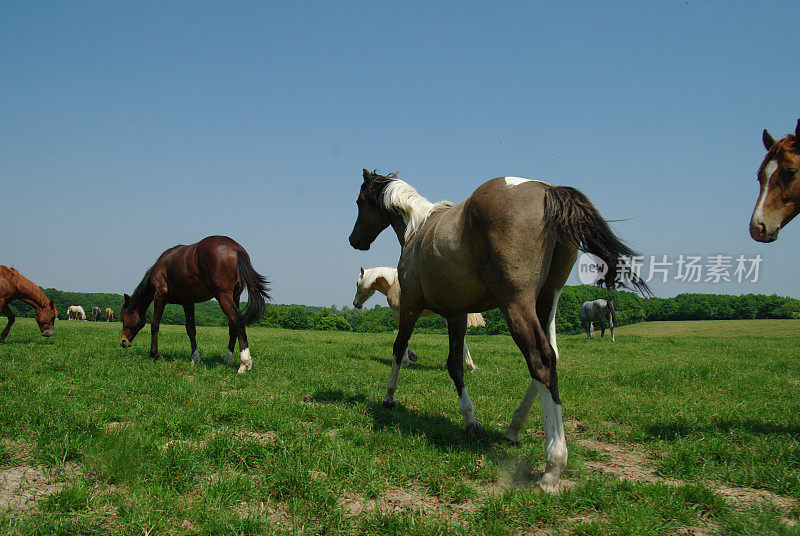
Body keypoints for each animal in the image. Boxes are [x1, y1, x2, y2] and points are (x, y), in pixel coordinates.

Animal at [117, 234, 270, 372]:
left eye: (124, 318)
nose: (123, 341)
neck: (161, 267)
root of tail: (236, 249)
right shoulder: (188, 302)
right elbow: (190, 329)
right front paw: (195, 358)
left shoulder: (159, 296)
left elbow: (155, 324)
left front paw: (154, 354)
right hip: (235, 296)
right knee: (233, 324)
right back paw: (228, 359)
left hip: (223, 296)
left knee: (237, 320)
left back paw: (244, 363)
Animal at [346, 170, 648, 492]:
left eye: (360, 201)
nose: (354, 240)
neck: (418, 228)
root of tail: (549, 191)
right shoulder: (456, 315)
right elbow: (455, 365)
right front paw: (470, 421)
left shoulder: (410, 307)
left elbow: (399, 347)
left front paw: (389, 396)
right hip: (547, 301)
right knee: (552, 358)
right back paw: (514, 428)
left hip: (516, 303)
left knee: (540, 361)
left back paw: (552, 467)